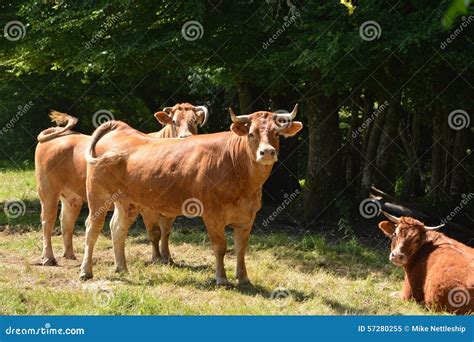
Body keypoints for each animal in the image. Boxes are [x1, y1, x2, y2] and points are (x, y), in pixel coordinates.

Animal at [34, 103, 208, 266]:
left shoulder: (170, 208)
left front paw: (168, 258)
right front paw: (157, 258)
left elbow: (166, 232)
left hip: (72, 197)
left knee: (66, 220)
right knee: (47, 220)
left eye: (195, 121)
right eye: (174, 121)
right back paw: (48, 257)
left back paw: (69, 254)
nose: (185, 137)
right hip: (48, 189)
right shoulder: (148, 207)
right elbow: (155, 232)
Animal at [79, 105, 302, 284]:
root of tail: (120, 127)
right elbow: (220, 247)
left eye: (276, 133)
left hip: (127, 202)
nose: (267, 152)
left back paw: (122, 268)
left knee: (117, 229)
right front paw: (222, 278)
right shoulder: (212, 215)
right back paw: (86, 271)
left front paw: (243, 278)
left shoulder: (247, 217)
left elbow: (241, 249)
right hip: (97, 196)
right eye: (251, 134)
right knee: (93, 228)